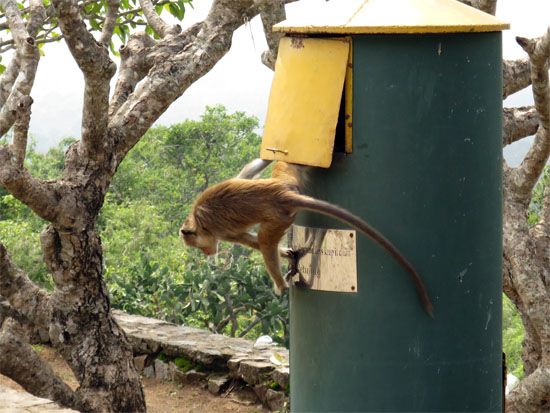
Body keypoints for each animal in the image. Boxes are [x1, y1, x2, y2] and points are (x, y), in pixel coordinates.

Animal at [181, 159, 436, 316]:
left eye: (199, 247)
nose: (208, 252)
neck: (198, 218)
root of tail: (281, 194)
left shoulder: (219, 231)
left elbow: (250, 241)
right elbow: (248, 172)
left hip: (279, 217)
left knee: (265, 241)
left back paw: (282, 283)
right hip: (288, 181)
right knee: (287, 165)